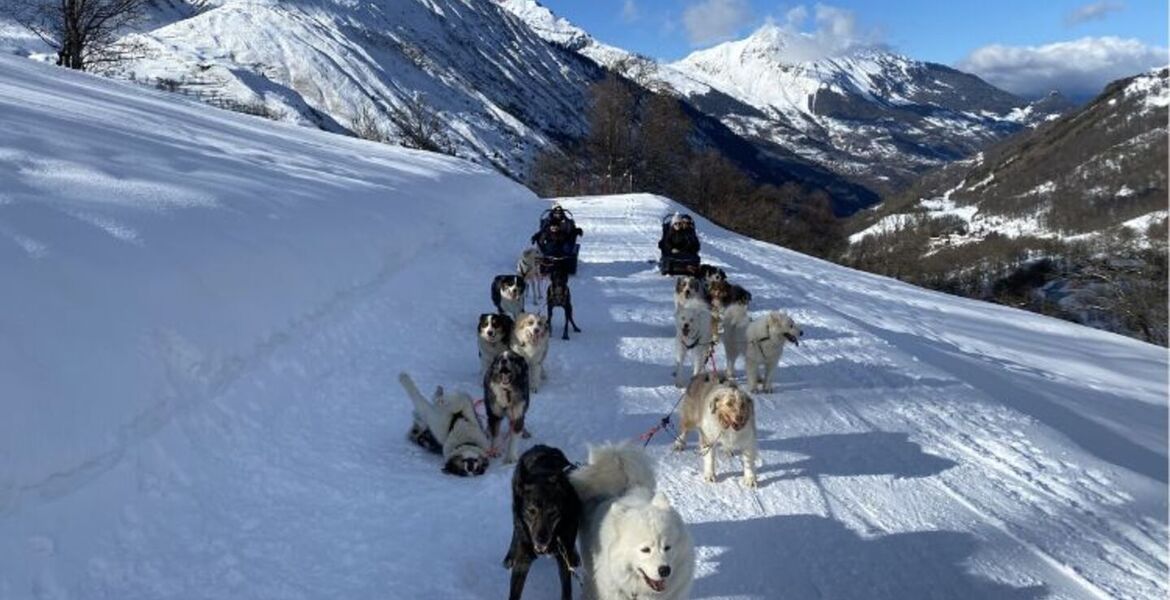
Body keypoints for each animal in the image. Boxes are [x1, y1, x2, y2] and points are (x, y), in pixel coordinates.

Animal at [503, 444, 580, 598]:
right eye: (531, 511)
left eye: (553, 512)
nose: (541, 540)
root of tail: (541, 446)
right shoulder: (523, 561)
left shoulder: (563, 558)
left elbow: (566, 589)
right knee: (516, 530)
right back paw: (510, 555)